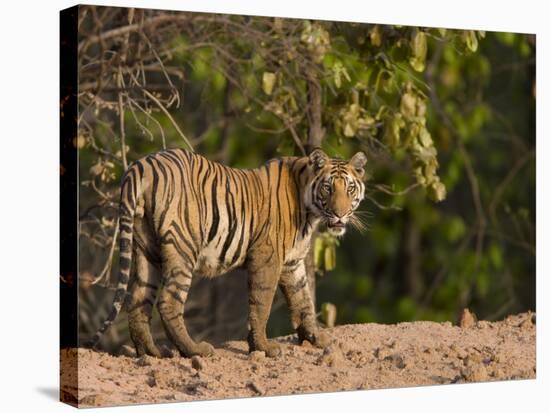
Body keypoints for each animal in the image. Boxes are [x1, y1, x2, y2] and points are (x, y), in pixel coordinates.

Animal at [87, 148, 366, 358]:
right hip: (183, 246)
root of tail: (142, 164)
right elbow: (262, 304)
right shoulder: (267, 258)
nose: (340, 214)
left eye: (349, 189)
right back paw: (194, 350)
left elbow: (303, 300)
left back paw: (152, 352)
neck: (310, 212)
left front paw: (316, 338)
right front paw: (263, 348)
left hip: (146, 248)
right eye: (328, 188)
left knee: (138, 298)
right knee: (168, 301)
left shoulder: (293, 263)